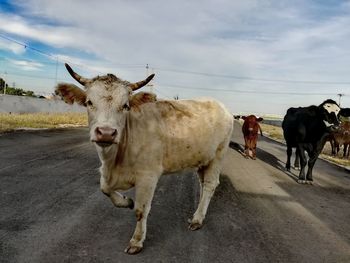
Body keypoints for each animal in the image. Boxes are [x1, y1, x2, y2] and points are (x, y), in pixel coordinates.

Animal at [55, 63, 232, 255]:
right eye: (89, 102)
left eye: (125, 105)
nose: (106, 133)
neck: (114, 161)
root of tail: (220, 105)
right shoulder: (107, 173)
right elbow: (105, 188)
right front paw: (126, 201)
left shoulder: (148, 176)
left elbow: (140, 210)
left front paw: (137, 241)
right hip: (203, 159)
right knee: (203, 183)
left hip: (219, 155)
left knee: (210, 185)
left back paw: (197, 219)